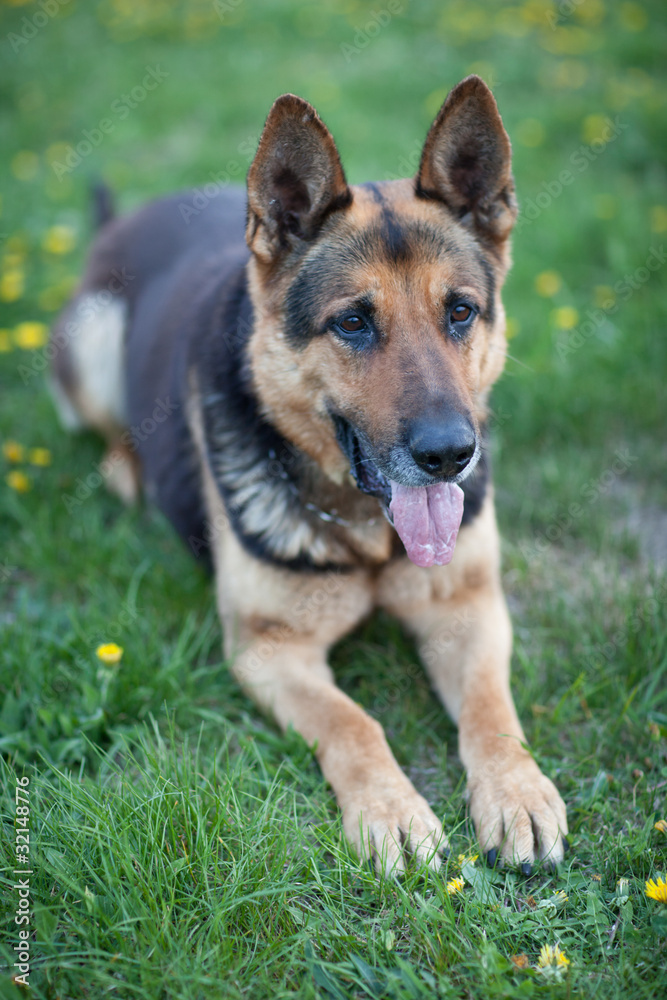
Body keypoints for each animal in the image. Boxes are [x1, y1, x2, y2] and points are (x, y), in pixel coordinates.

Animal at [51, 76, 568, 876]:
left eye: (460, 312)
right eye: (352, 323)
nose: (451, 454)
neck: (368, 532)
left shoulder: (470, 608)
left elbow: (491, 708)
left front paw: (517, 789)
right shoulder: (270, 650)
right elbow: (353, 721)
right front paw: (392, 811)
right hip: (95, 335)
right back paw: (123, 469)